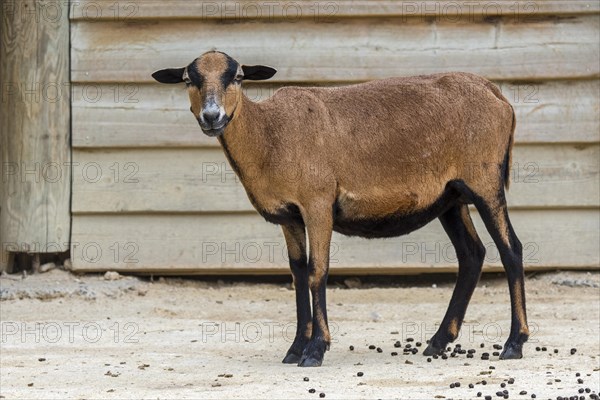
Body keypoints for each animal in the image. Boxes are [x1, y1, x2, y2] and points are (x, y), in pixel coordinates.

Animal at [152, 51, 528, 368]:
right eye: (188, 80)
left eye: (238, 77)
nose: (211, 116)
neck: (270, 135)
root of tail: (497, 94)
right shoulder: (290, 216)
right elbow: (298, 272)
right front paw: (294, 348)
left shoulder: (318, 204)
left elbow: (318, 271)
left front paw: (315, 349)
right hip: (450, 196)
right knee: (472, 254)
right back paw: (437, 341)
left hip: (485, 182)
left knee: (511, 250)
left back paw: (514, 343)